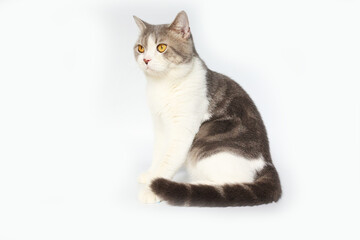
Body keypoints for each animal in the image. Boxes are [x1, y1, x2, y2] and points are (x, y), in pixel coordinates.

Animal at [132, 10, 282, 206]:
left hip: (206, 147)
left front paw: (152, 188)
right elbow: (159, 153)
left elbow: (169, 160)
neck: (164, 84)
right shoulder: (159, 124)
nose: (146, 59)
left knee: (229, 183)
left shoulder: (183, 130)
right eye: (141, 48)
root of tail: (268, 163)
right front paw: (151, 173)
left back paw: (193, 185)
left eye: (161, 47)